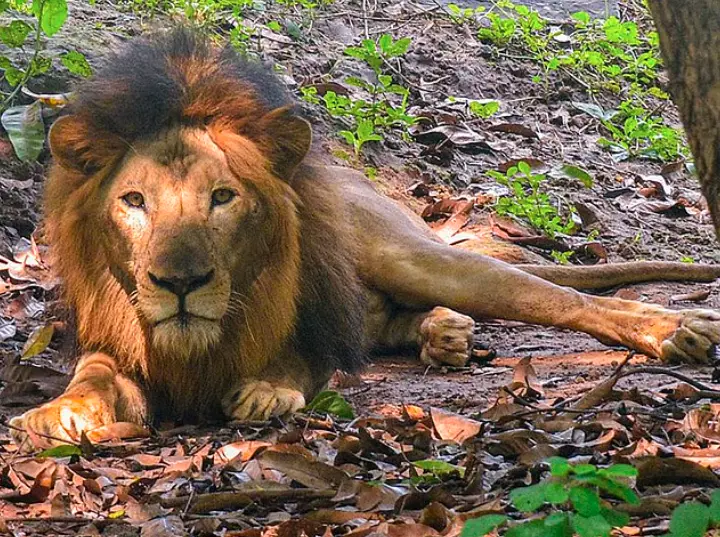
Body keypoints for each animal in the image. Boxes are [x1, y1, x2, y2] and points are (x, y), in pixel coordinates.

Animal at [9, 28, 720, 449]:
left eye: (223, 197)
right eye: (134, 202)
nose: (180, 283)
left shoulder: (312, 327)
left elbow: (299, 359)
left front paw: (267, 390)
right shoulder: (115, 341)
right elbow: (93, 373)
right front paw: (61, 412)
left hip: (410, 256)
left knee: (562, 299)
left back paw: (676, 330)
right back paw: (443, 333)